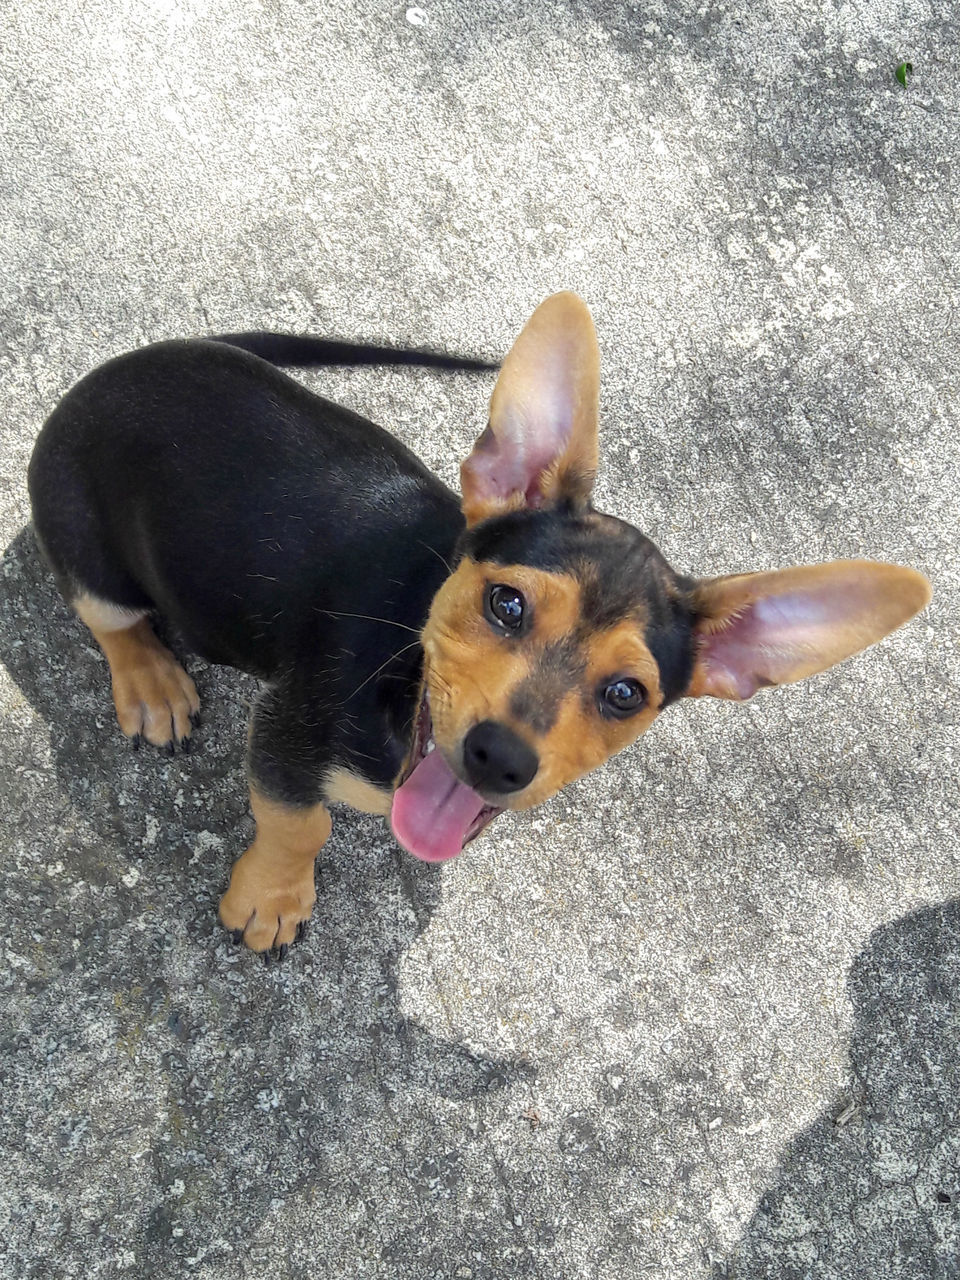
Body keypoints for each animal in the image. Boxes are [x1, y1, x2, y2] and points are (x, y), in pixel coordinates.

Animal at [28, 290, 931, 952]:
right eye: (507, 604)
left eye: (626, 695)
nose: (500, 759)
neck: (408, 658)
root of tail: (133, 361)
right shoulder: (288, 727)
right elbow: (299, 823)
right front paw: (271, 900)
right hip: (85, 544)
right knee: (111, 619)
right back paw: (151, 682)